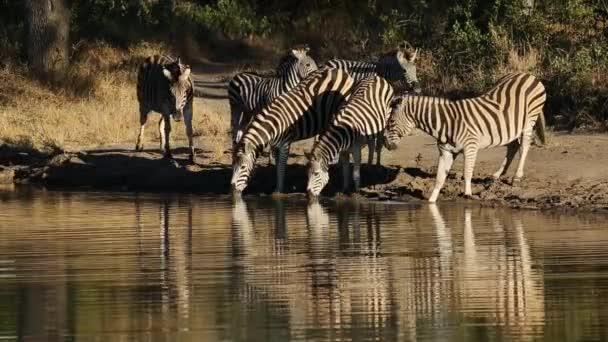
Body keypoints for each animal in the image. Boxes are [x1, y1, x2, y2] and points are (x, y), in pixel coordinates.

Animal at [384, 71, 548, 202]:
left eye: (391, 121)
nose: (385, 144)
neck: (447, 123)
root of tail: (527, 75)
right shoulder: (446, 151)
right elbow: (439, 178)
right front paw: (431, 202)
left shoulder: (470, 147)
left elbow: (467, 172)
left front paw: (468, 194)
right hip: (512, 126)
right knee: (513, 146)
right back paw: (497, 174)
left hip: (528, 121)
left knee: (524, 146)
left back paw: (517, 177)